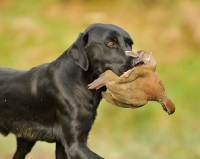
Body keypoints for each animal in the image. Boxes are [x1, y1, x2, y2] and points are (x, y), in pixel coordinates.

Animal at [0, 23, 144, 158]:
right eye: (110, 43)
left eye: (130, 44)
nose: (140, 62)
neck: (81, 83)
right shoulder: (75, 146)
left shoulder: (63, 145)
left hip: (26, 141)